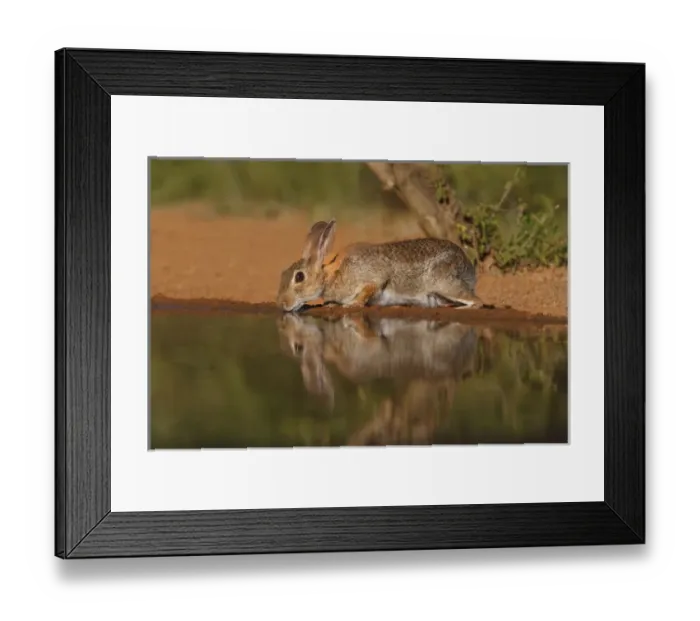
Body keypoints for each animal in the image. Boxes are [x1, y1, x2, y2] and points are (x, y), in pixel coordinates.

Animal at [276, 219, 484, 313]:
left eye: (299, 277)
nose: (282, 304)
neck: (331, 276)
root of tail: (468, 267)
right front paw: (331, 304)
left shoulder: (372, 277)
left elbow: (369, 289)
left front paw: (352, 305)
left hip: (444, 283)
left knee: (477, 301)